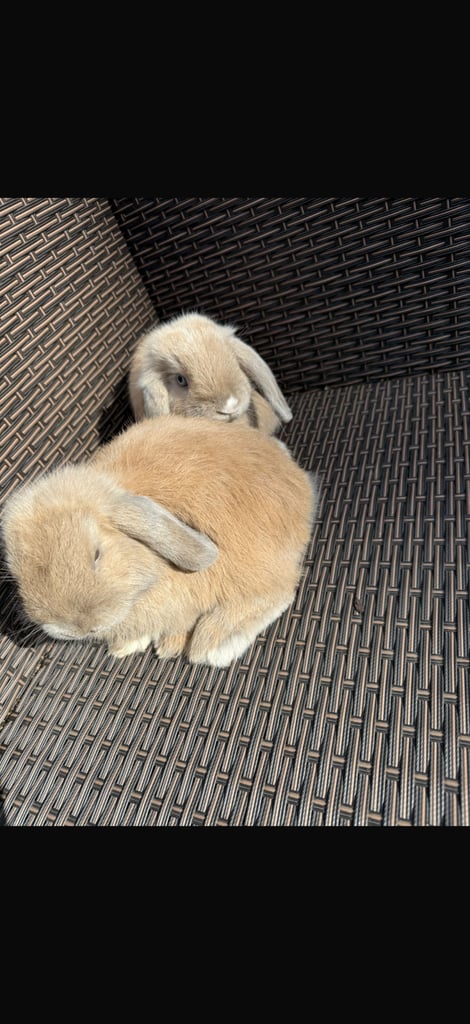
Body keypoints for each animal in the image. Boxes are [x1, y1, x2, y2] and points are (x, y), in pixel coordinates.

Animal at [1, 416, 317, 668]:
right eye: (17, 576)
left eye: (97, 554)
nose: (78, 628)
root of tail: (299, 479)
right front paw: (127, 646)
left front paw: (168, 644)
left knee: (277, 593)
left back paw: (211, 645)